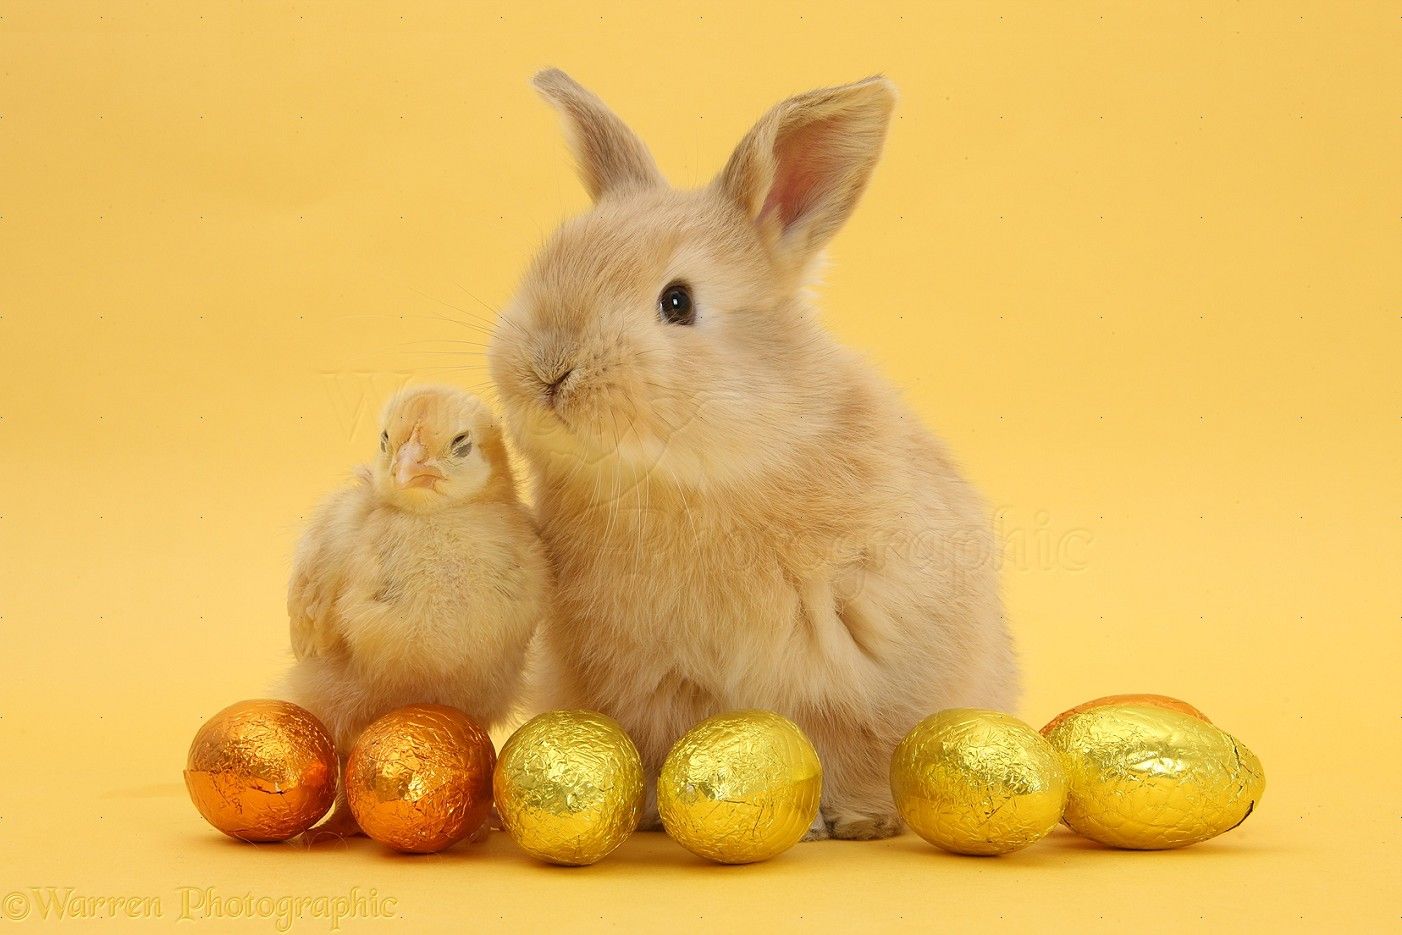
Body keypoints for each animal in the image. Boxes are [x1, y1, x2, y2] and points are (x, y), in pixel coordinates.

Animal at [487, 69, 1018, 840]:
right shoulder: (649, 682)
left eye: (677, 302)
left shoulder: (868, 670)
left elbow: (853, 751)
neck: (694, 476)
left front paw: (856, 819)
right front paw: (655, 809)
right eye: (548, 263)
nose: (549, 368)